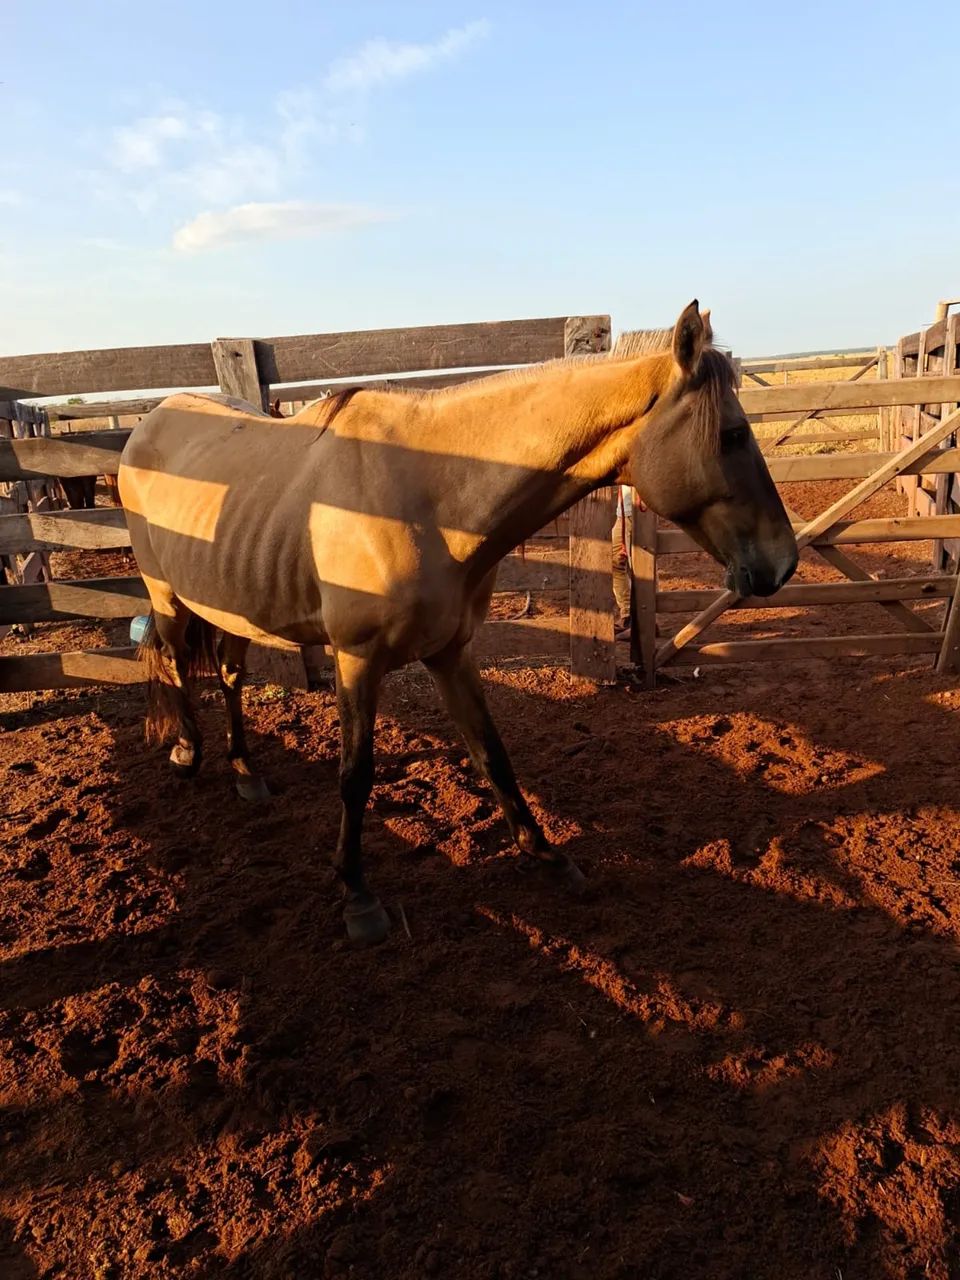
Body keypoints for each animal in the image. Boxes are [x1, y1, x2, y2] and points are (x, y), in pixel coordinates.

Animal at [118, 301, 797, 945]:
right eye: (733, 434)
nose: (783, 563)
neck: (429, 499)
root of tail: (149, 423)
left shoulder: (451, 652)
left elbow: (491, 751)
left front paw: (546, 855)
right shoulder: (356, 660)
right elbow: (355, 774)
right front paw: (357, 894)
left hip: (229, 607)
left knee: (230, 678)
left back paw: (244, 771)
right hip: (167, 596)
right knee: (176, 667)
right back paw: (187, 751)